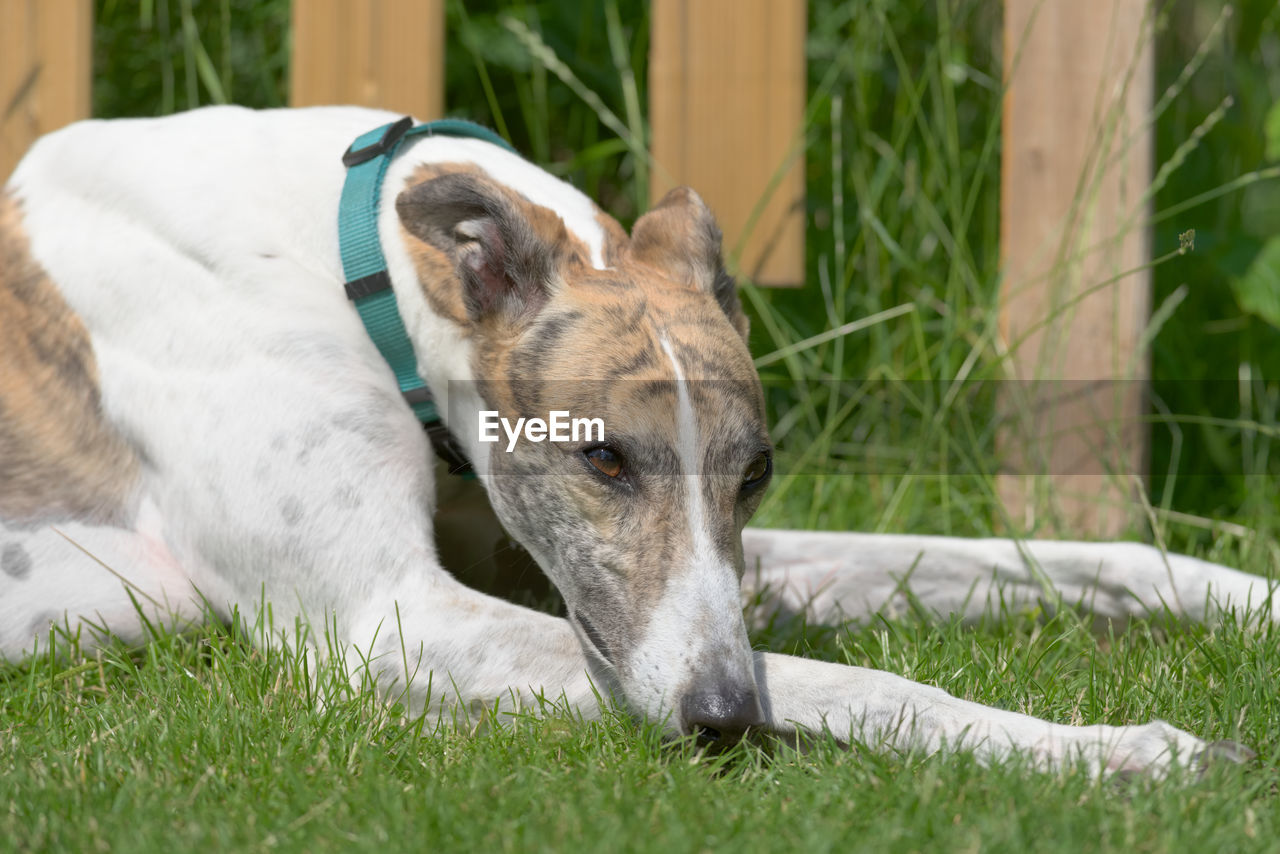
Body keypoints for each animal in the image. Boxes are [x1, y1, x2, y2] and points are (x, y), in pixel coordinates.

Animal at [0, 104, 1269, 773]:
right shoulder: (388, 622)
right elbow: (856, 677)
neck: (355, 258)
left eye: (756, 470)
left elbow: (1079, 556)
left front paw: (1242, 596)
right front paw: (1123, 748)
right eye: (601, 455)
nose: (721, 714)